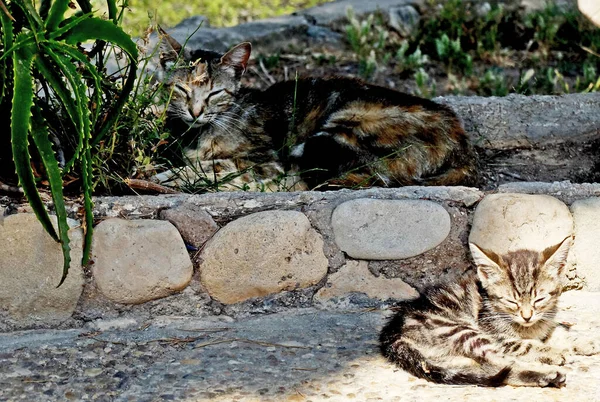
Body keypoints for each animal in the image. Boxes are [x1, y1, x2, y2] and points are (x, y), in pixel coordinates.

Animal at [151, 28, 478, 192]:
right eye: (182, 89)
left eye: (215, 93)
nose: (195, 112)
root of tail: (463, 147)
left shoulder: (267, 160)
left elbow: (216, 166)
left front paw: (173, 176)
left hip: (336, 131)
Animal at [380, 237, 592, 388]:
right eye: (511, 301)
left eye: (539, 300)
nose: (527, 316)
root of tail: (392, 332)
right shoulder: (500, 338)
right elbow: (527, 345)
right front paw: (553, 352)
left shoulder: (544, 322)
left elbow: (558, 330)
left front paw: (583, 341)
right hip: (462, 331)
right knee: (497, 365)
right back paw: (547, 375)